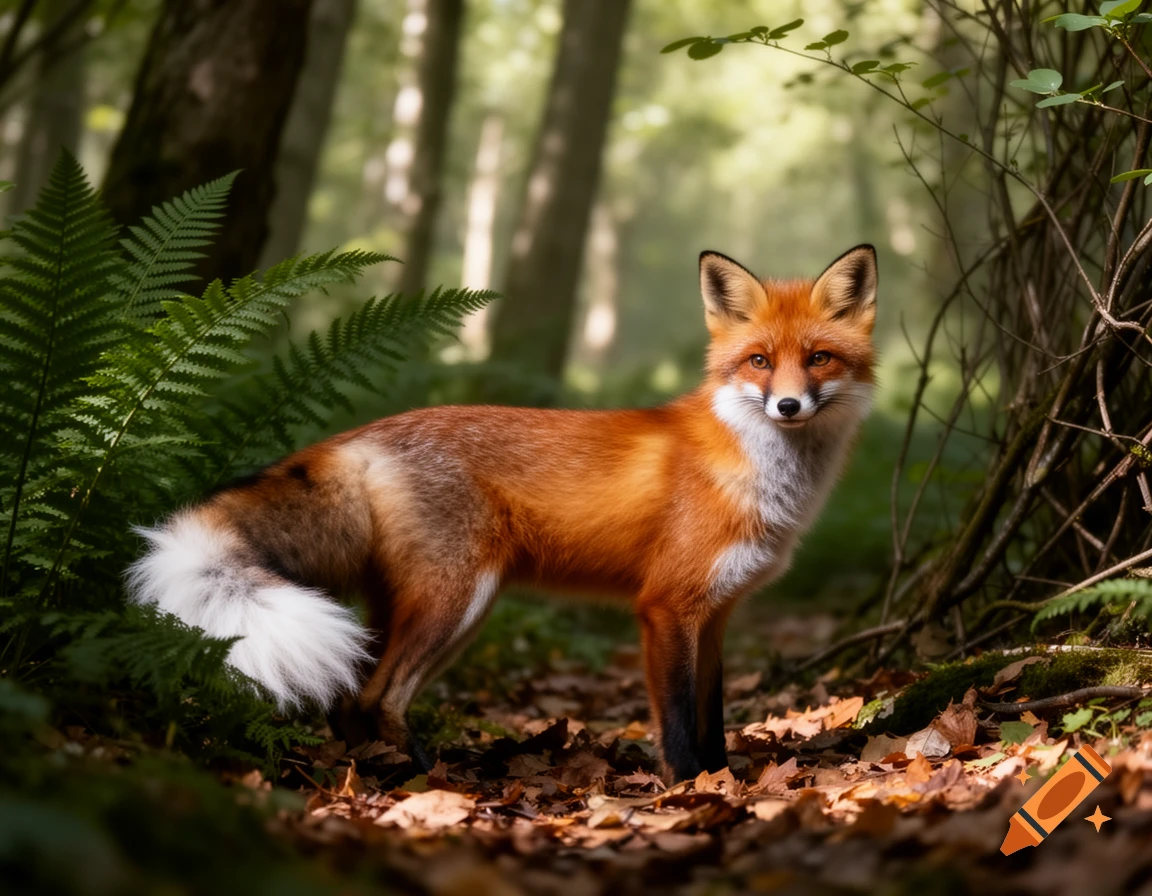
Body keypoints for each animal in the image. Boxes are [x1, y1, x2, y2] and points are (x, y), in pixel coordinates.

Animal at [126, 245, 878, 782]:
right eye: (759, 362)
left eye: (818, 358)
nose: (789, 406)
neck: (760, 472)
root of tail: (363, 435)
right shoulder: (666, 607)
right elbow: (678, 723)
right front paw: (694, 787)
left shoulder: (716, 614)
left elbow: (713, 716)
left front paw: (726, 779)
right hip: (457, 600)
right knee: (378, 698)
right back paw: (428, 783)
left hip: (423, 610)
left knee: (349, 699)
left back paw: (372, 776)